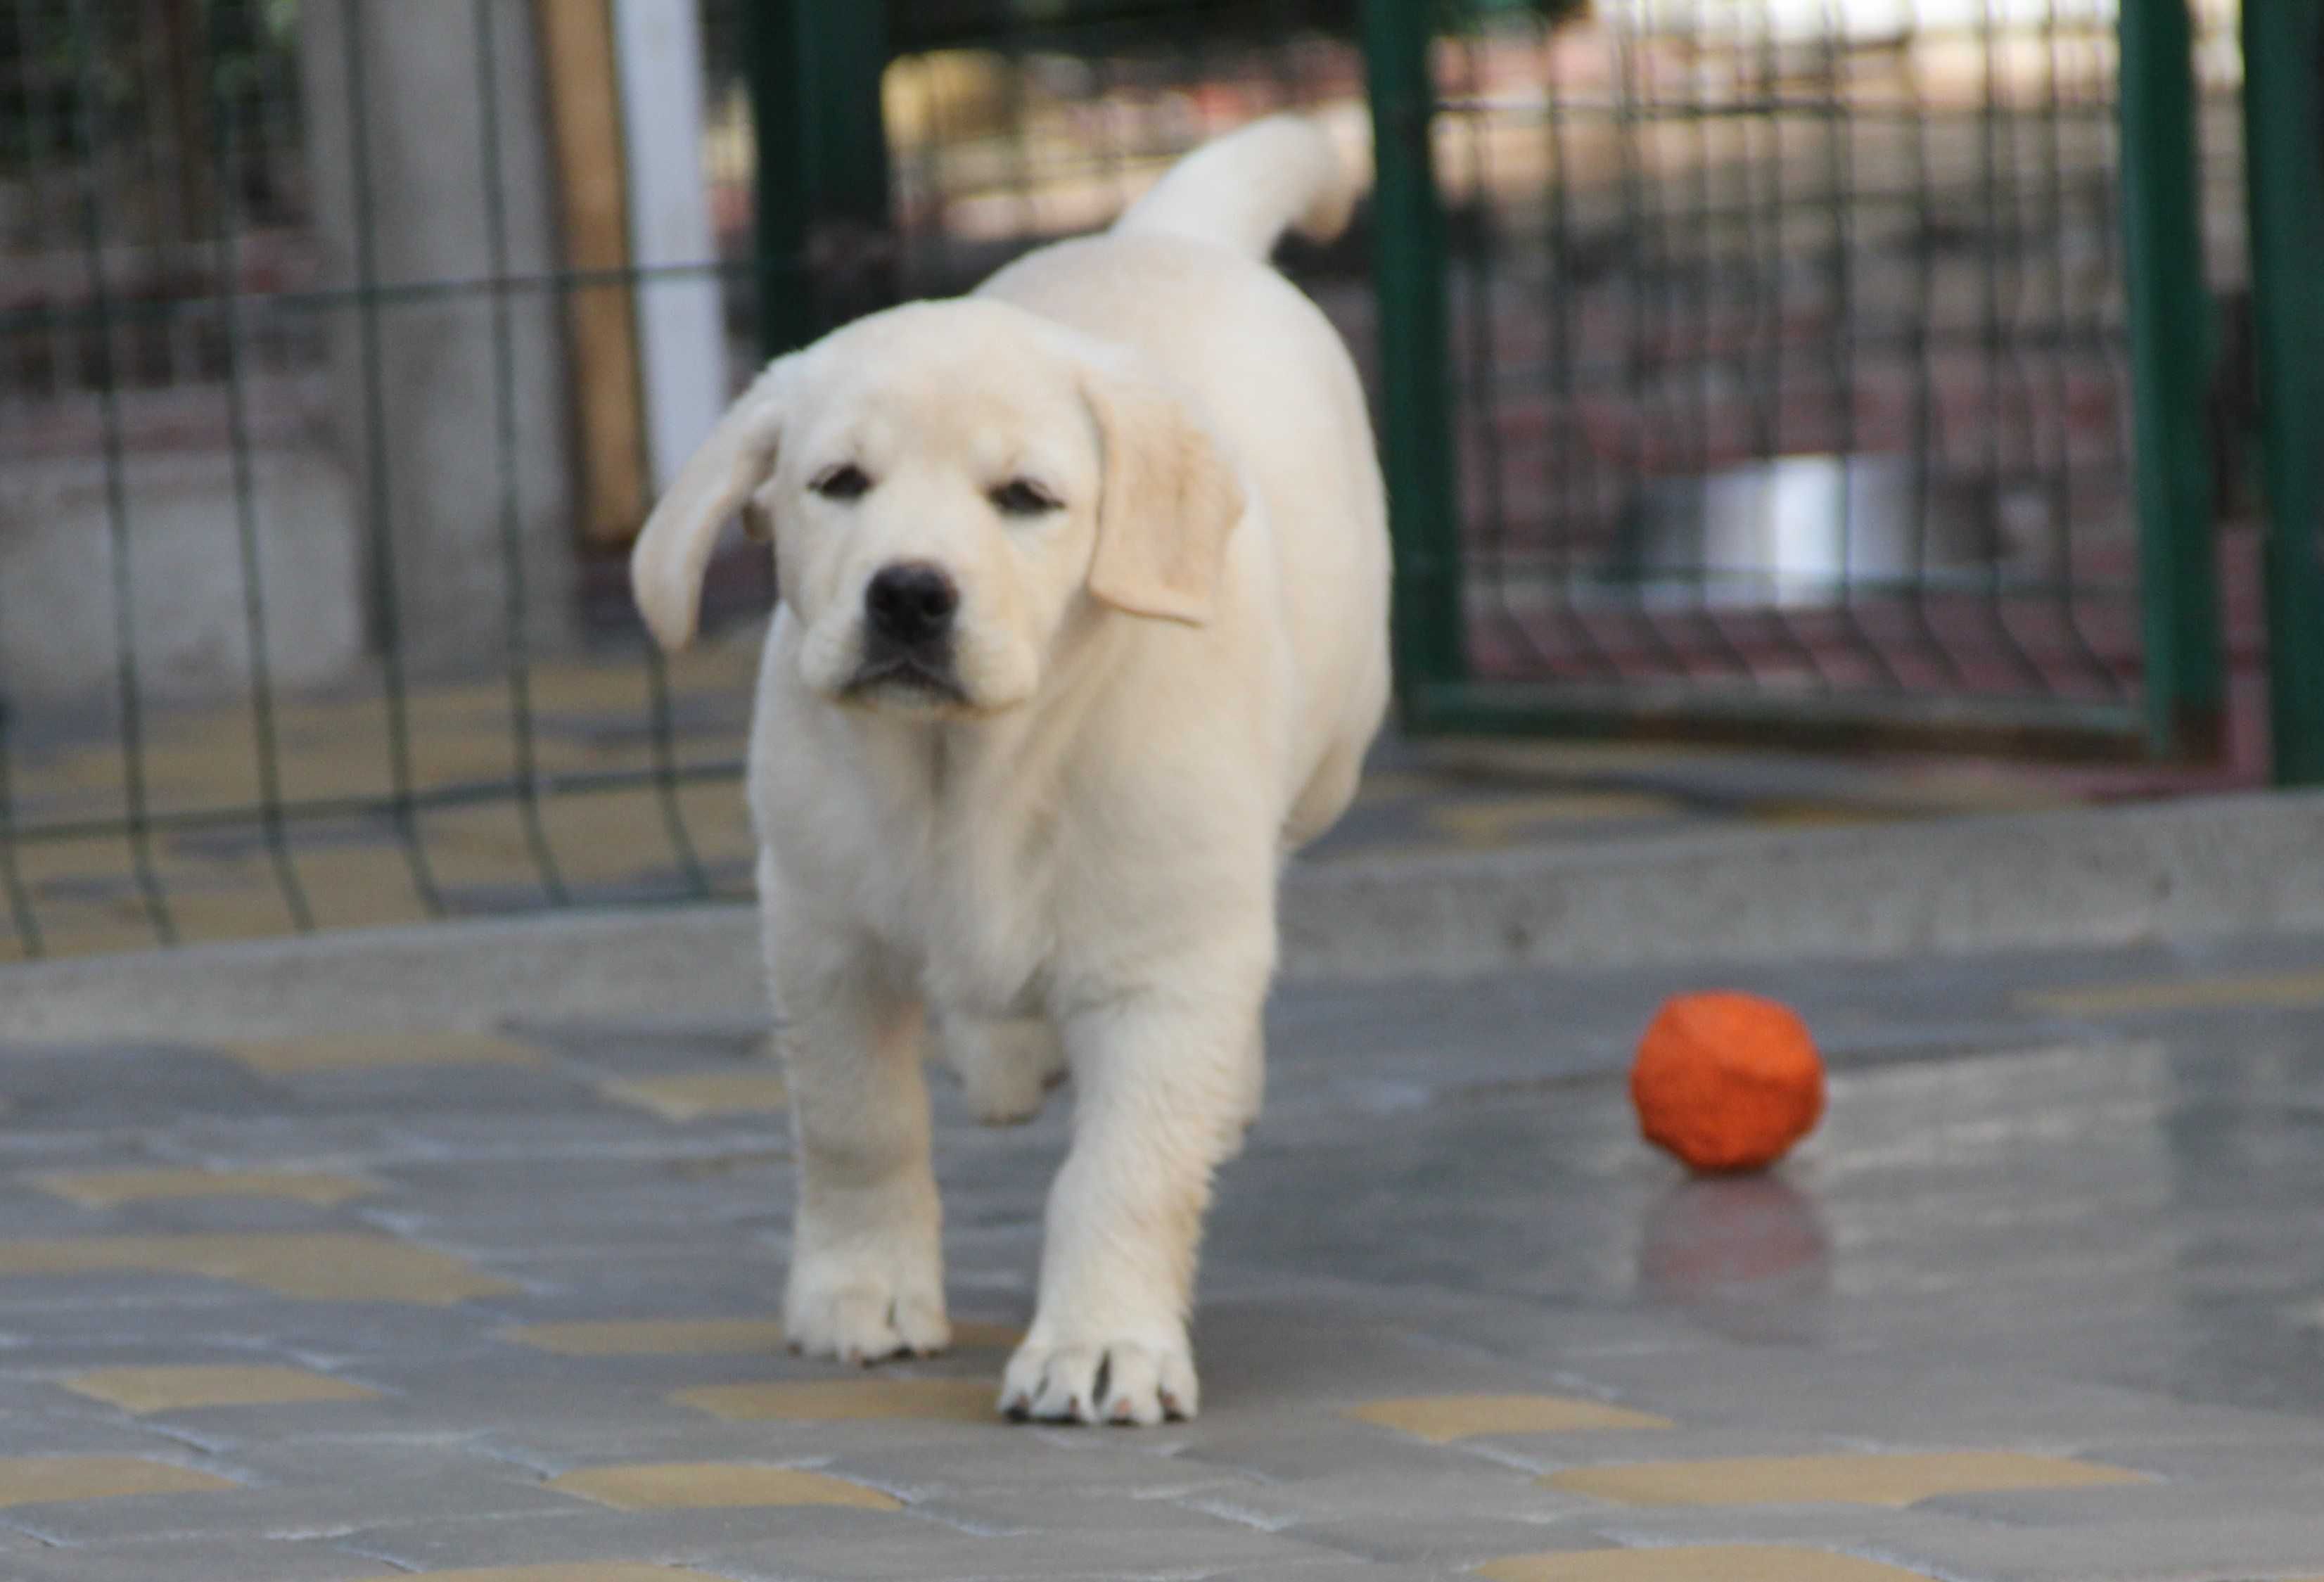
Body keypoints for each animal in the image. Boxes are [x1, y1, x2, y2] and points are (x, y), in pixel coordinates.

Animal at [632, 110, 1375, 1422]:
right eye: (838, 484)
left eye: (1026, 498)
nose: (908, 594)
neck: (968, 766)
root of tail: (1167, 233)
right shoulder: (820, 933)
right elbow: (855, 1122)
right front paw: (861, 1293)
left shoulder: (1166, 964)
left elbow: (1126, 1166)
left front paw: (1102, 1341)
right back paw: (1004, 1054)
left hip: (1333, 750)